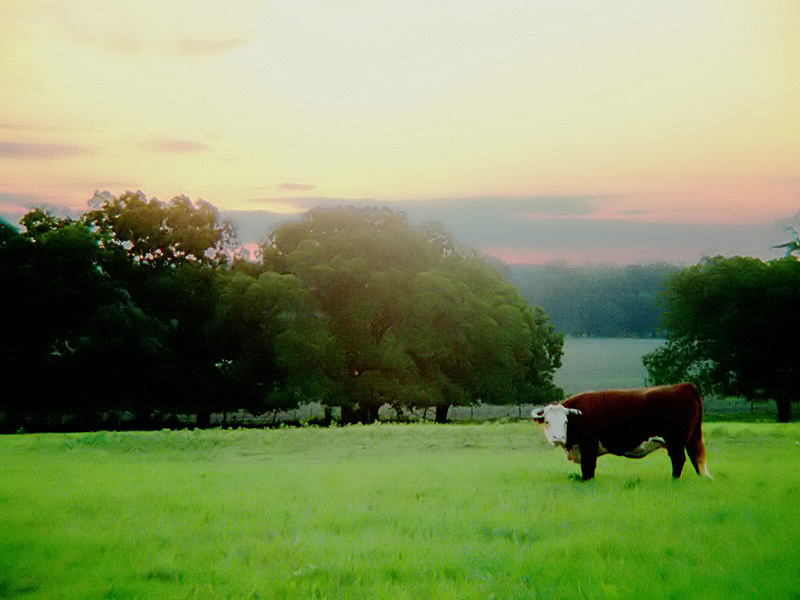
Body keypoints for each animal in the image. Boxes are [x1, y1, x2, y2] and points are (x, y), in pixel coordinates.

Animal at [532, 384, 712, 482]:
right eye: (547, 422)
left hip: (675, 441)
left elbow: (588, 469)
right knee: (695, 459)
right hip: (691, 437)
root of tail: (683, 386)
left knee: (679, 460)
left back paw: (673, 480)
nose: (558, 437)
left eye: (565, 422)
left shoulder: (589, 446)